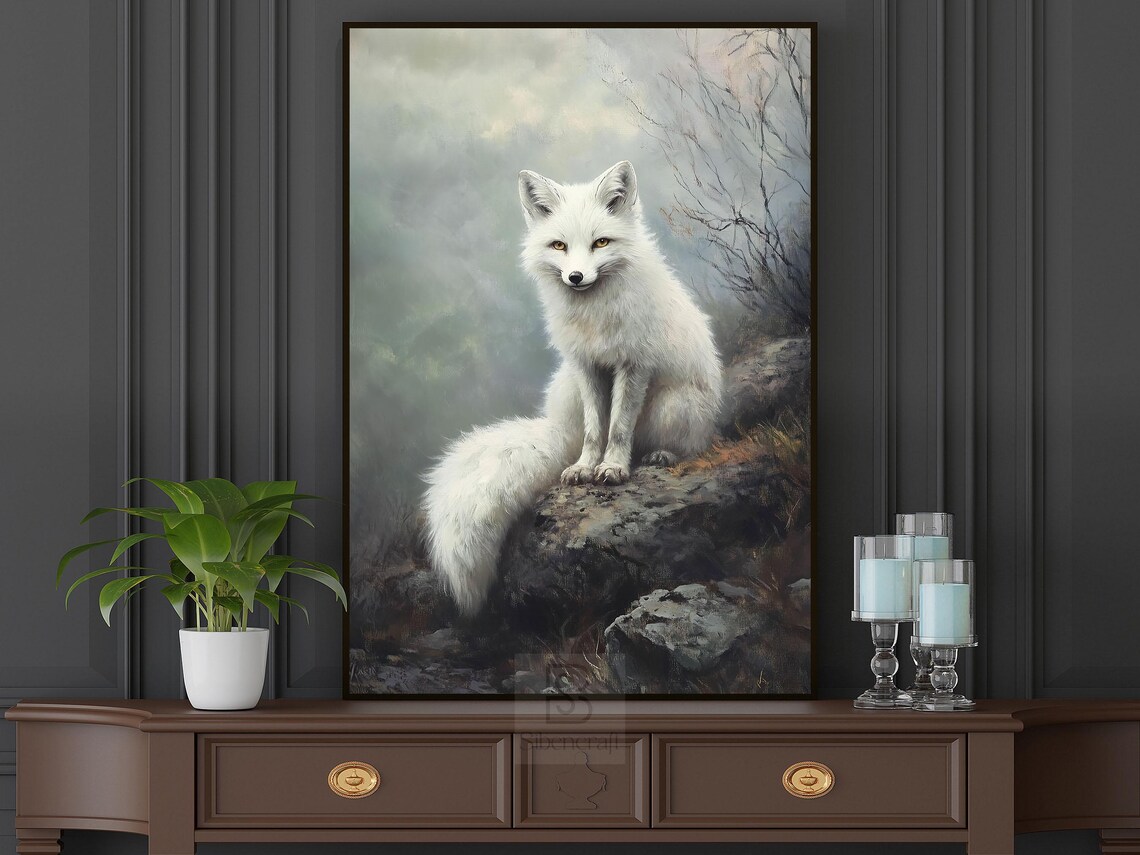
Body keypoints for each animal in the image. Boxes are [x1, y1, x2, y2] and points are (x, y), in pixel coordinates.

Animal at [423, 160, 723, 615]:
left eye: (601, 242)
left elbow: (619, 427)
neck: (594, 315)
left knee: (687, 442)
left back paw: (661, 455)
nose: (577, 276)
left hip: (677, 405)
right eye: (559, 245)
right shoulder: (587, 366)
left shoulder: (633, 365)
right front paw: (585, 467)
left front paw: (613, 468)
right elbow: (595, 428)